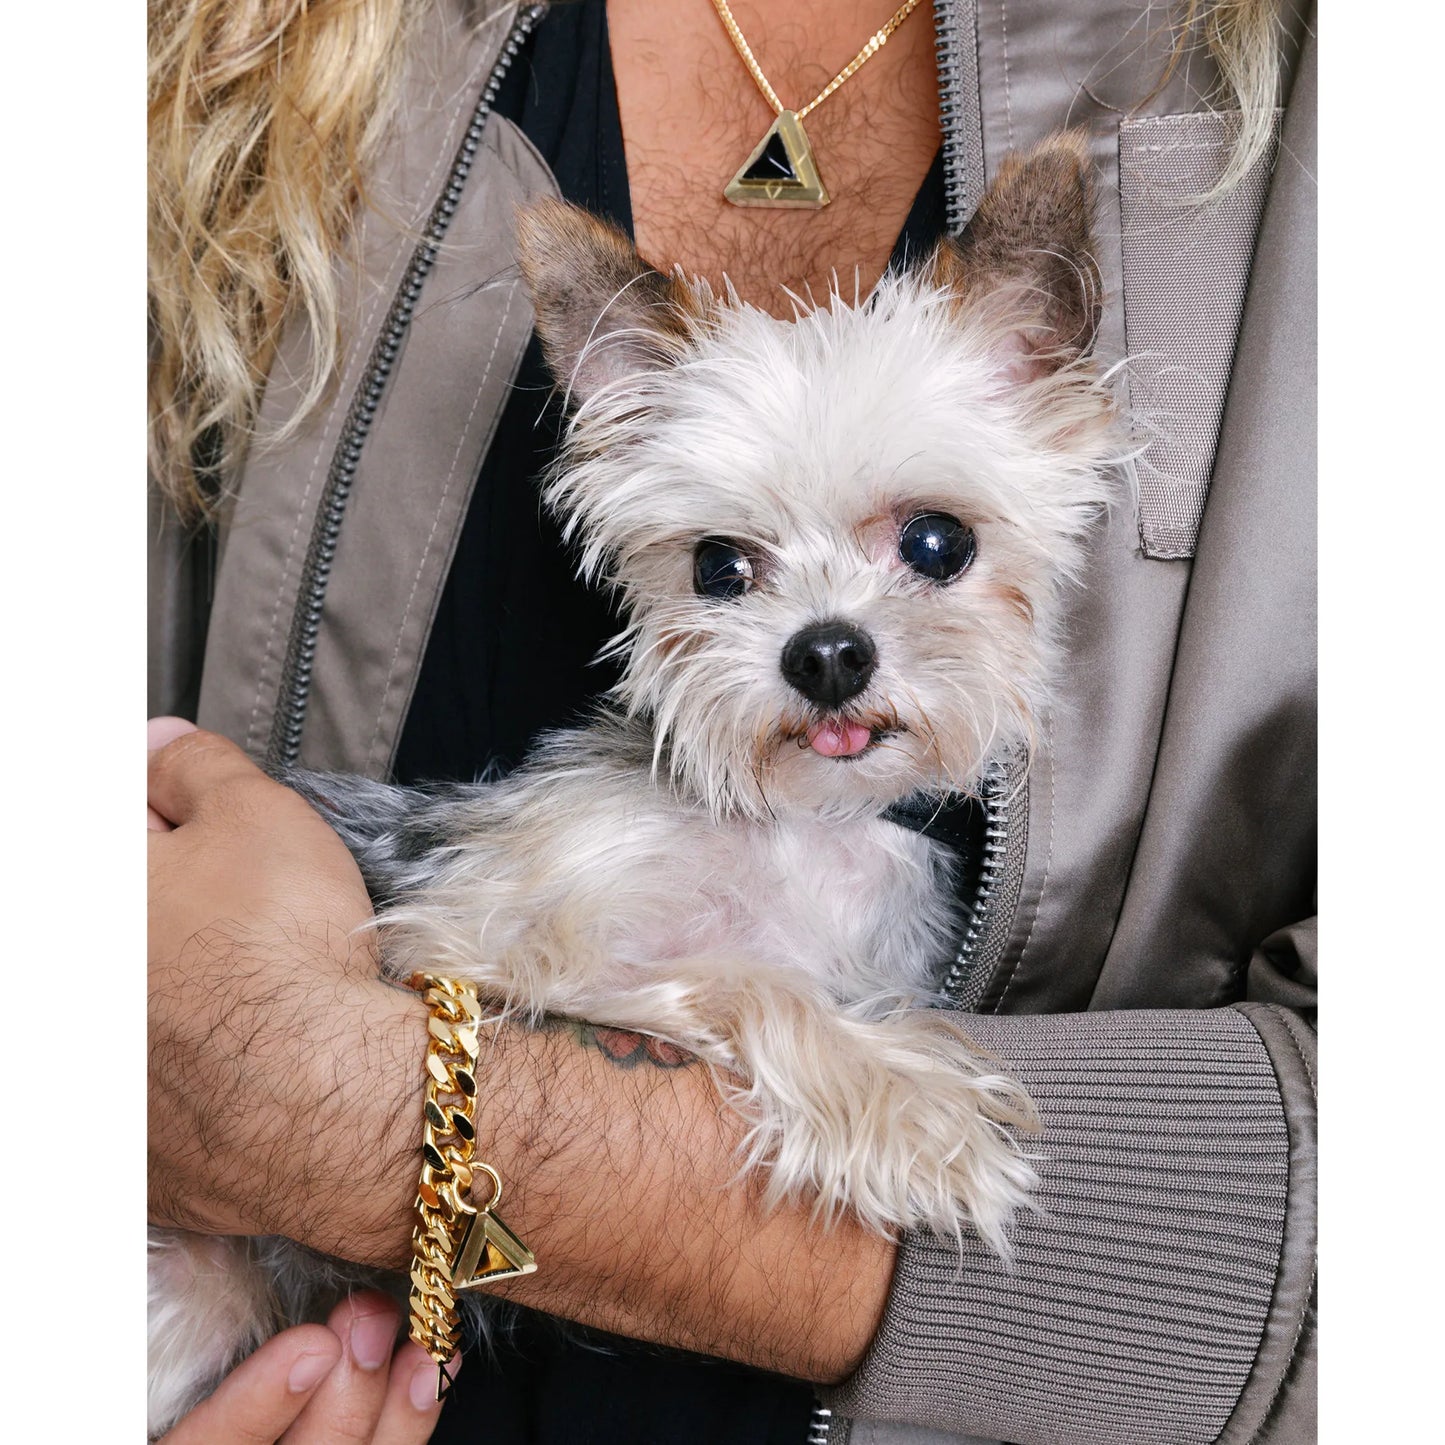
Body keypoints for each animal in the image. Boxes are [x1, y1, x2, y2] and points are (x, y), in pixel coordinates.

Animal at [146, 132, 1115, 1433]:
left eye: (936, 542)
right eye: (717, 565)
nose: (824, 653)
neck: (796, 831)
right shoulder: (467, 946)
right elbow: (739, 976)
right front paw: (911, 1109)